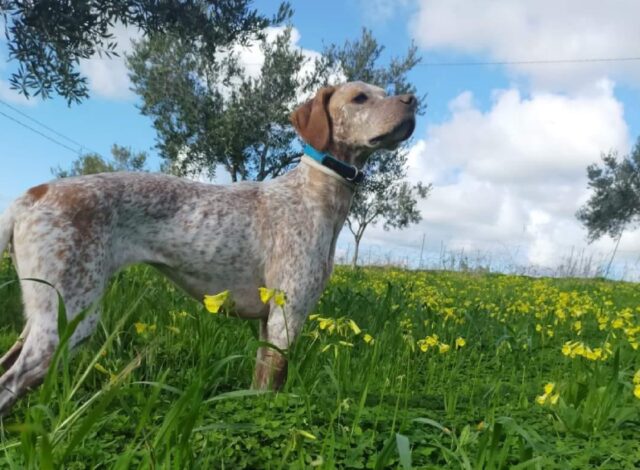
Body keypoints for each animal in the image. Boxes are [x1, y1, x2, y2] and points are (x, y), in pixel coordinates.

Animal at [0, 81, 416, 414]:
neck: (315, 193)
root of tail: (30, 195)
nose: (413, 100)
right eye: (360, 97)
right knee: (10, 383)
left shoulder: (268, 322)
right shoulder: (288, 316)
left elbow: (258, 383)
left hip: (43, 314)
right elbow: (272, 388)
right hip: (71, 319)